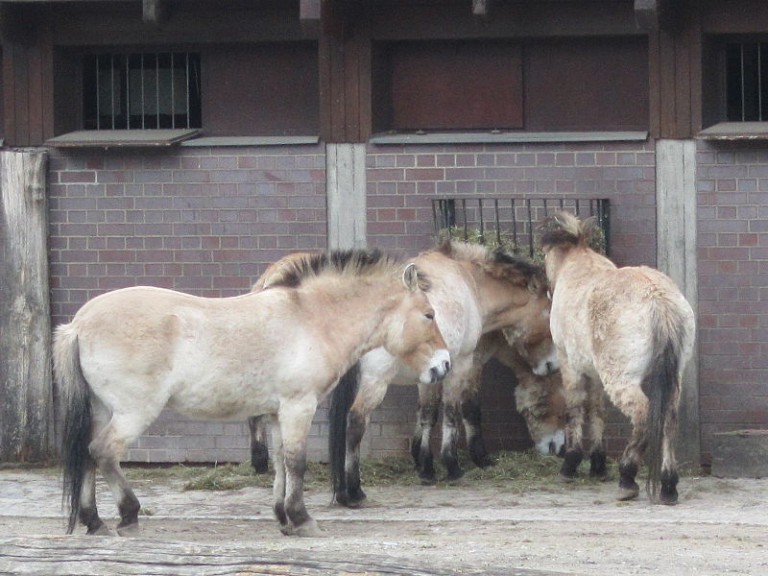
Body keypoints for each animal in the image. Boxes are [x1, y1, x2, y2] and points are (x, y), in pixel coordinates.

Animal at [57, 250, 452, 536]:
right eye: (429, 314)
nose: (444, 365)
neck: (312, 319)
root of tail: (79, 323)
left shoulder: (277, 413)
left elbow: (280, 463)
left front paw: (283, 518)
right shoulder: (299, 407)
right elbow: (297, 462)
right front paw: (302, 519)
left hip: (101, 409)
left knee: (88, 455)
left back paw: (94, 521)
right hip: (133, 412)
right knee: (104, 452)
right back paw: (128, 515)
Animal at [330, 241, 560, 506]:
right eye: (549, 317)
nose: (552, 365)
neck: (470, 283)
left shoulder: (431, 374)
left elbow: (428, 414)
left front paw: (426, 467)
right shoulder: (462, 363)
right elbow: (452, 412)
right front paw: (452, 465)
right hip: (375, 381)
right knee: (356, 422)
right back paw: (354, 491)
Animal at [540, 212, 696, 504]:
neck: (579, 267)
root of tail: (658, 299)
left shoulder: (570, 366)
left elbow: (575, 409)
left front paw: (571, 464)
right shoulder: (594, 374)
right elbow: (596, 410)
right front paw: (597, 465)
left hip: (621, 380)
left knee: (644, 415)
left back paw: (627, 478)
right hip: (673, 376)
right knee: (668, 419)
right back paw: (668, 486)